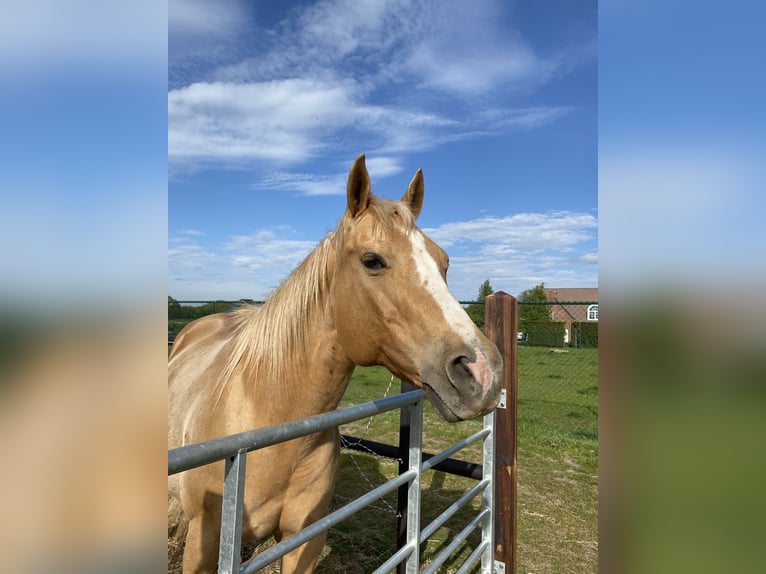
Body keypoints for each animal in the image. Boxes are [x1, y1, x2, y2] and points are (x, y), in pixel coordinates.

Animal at [168, 154, 504, 573]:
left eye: (444, 262)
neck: (270, 421)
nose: (482, 373)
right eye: (372, 260)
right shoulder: (203, 541)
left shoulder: (305, 541)